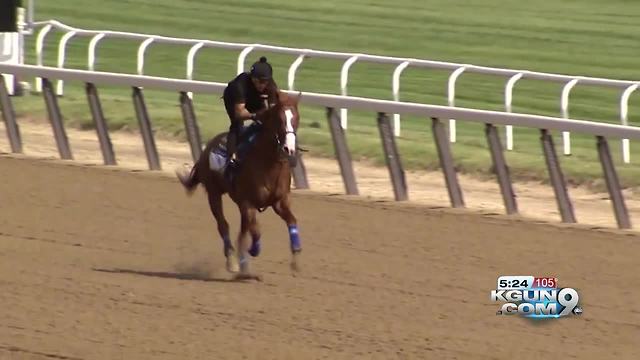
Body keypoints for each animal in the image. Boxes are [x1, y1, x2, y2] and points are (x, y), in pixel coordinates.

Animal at [176, 90, 304, 282]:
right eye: (279, 119)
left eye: (296, 118)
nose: (289, 149)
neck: (269, 163)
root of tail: (208, 147)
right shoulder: (247, 203)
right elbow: (256, 232)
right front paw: (253, 251)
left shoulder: (280, 202)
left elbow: (292, 221)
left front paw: (296, 261)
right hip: (214, 193)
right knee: (224, 225)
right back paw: (233, 261)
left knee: (242, 231)